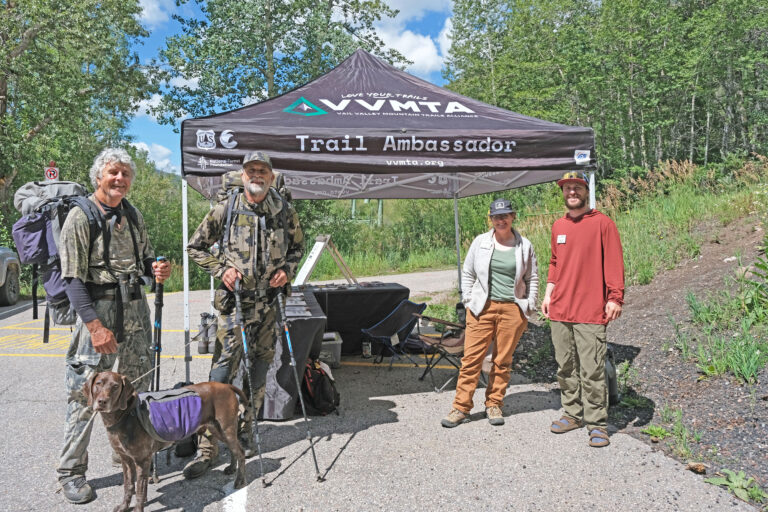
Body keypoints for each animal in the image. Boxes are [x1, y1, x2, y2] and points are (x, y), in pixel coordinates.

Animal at [84, 371, 248, 512]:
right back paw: (231, 468)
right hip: (217, 430)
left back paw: (239, 480)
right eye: (98, 383)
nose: (102, 401)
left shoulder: (142, 460)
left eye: (115, 386)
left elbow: (140, 490)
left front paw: (138, 508)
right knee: (233, 450)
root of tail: (226, 386)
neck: (125, 415)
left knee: (240, 451)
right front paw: (124, 506)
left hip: (225, 429)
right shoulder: (126, 460)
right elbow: (128, 486)